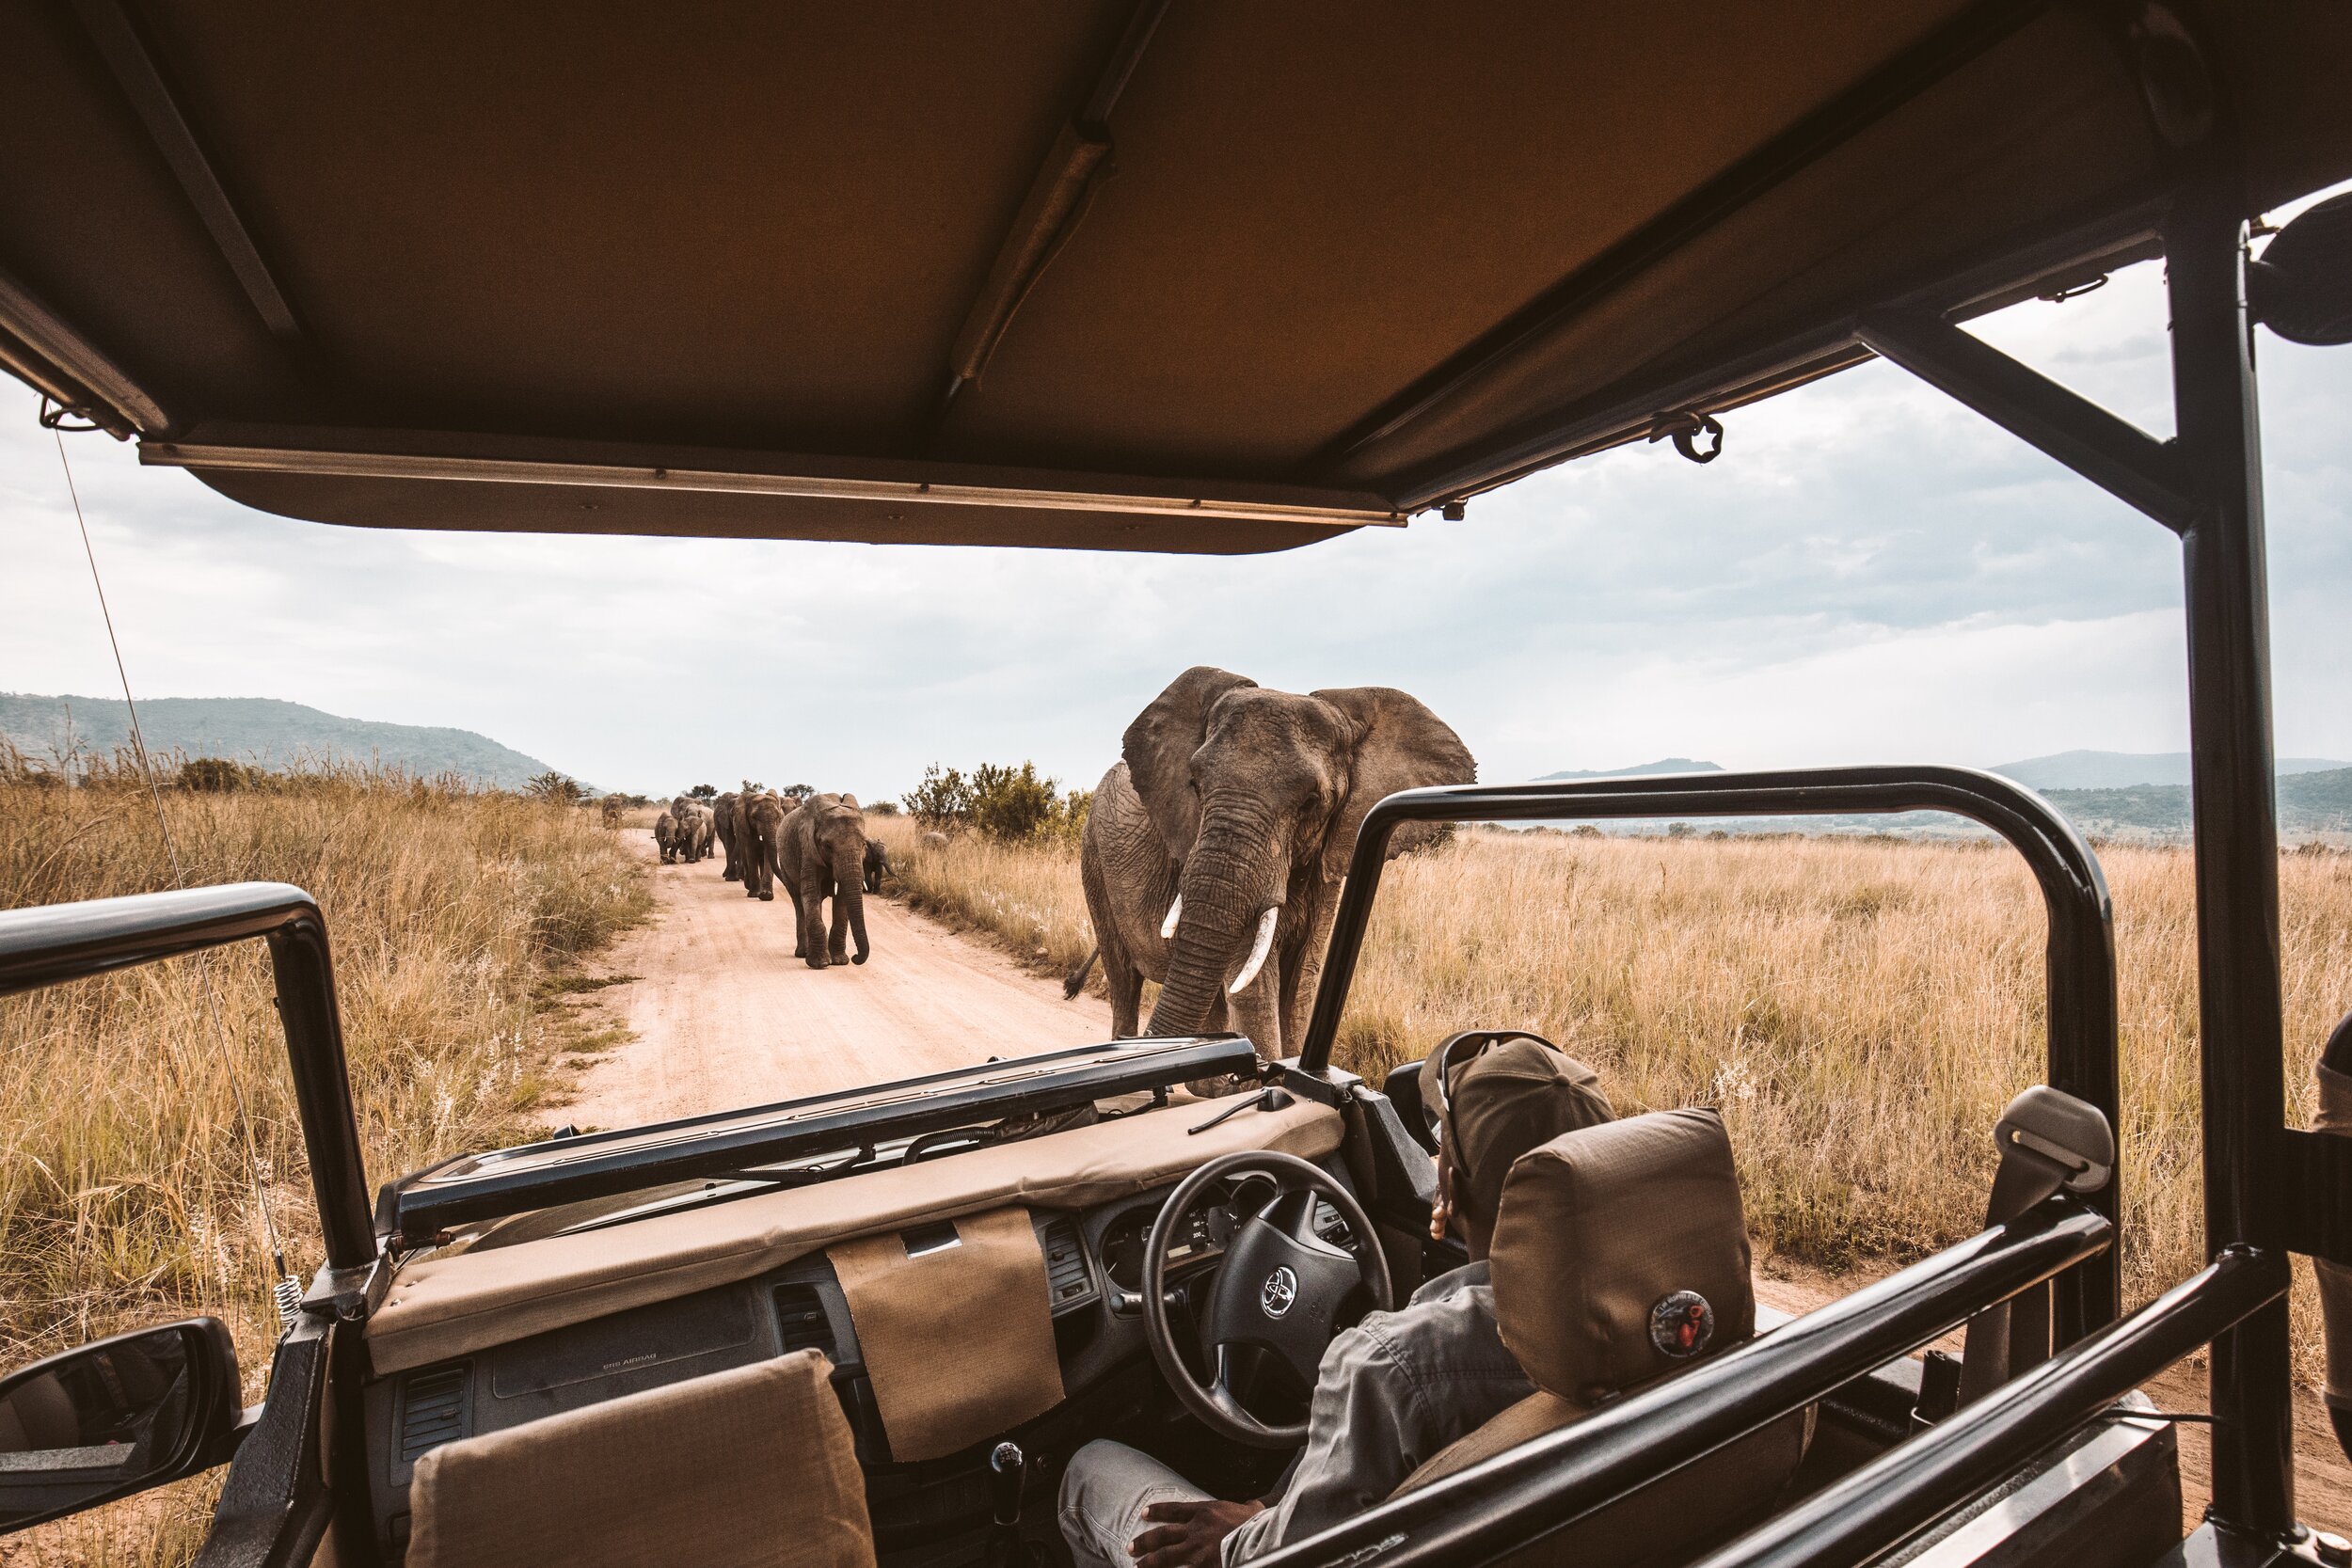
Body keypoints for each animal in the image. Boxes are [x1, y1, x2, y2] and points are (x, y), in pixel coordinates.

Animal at [781, 799, 875, 968]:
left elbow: (842, 898)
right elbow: (810, 891)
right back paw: (803, 953)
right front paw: (820, 964)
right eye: (828, 846)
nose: (855, 957)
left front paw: (840, 961)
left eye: (864, 844)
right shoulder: (808, 850)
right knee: (798, 902)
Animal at [1077, 667, 1468, 1062]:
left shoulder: (1328, 865)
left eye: (1312, 801)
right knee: (1124, 980)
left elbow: (1300, 986)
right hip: (1093, 859)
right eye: (1194, 784)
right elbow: (1253, 991)